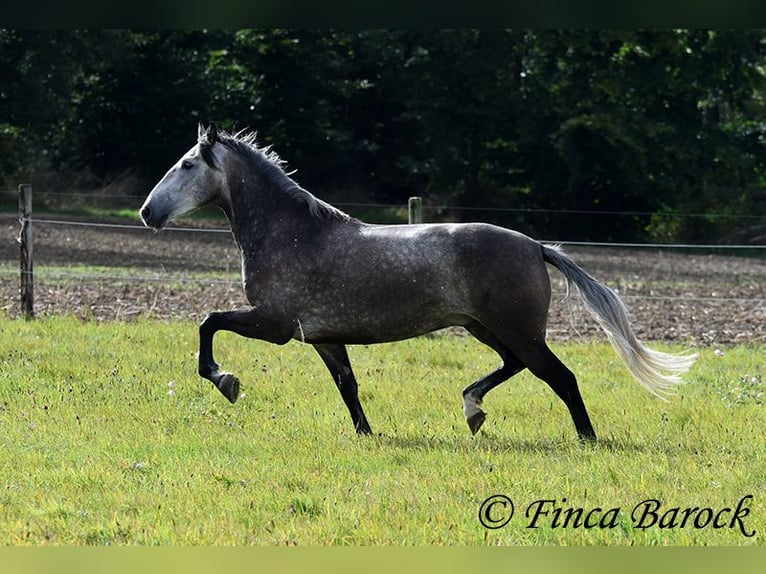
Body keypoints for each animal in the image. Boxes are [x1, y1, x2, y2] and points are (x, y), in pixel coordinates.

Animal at [141, 124, 700, 444]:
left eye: (186, 164)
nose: (148, 212)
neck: (292, 233)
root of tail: (534, 245)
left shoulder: (275, 325)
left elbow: (207, 323)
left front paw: (226, 381)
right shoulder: (323, 338)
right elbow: (348, 386)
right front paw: (367, 435)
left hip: (517, 331)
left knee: (561, 377)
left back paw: (586, 440)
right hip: (486, 329)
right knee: (514, 367)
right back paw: (473, 409)